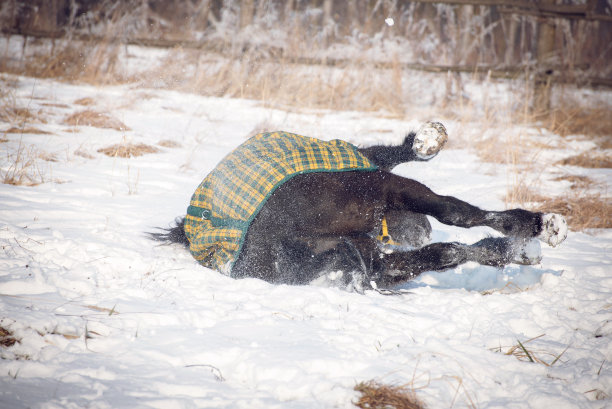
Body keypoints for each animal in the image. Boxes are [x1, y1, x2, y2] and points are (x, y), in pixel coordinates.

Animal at [152, 122, 564, 292]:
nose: (362, 278)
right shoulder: (376, 253)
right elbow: (445, 251)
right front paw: (516, 250)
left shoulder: (383, 188)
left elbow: (456, 213)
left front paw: (541, 226)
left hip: (358, 165)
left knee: (385, 154)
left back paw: (427, 139)